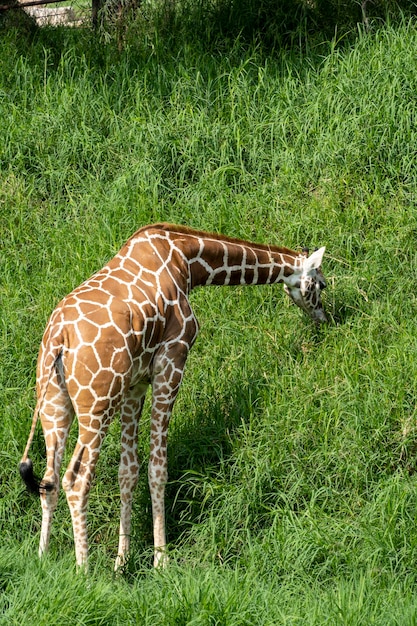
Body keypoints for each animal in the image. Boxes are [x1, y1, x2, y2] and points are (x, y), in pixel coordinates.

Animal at [18, 222, 324, 568]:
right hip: (96, 403)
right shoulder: (172, 357)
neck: (186, 260)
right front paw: (160, 560)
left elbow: (128, 471)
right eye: (321, 284)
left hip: (54, 403)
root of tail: (59, 339)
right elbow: (157, 467)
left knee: (49, 480)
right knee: (76, 479)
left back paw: (42, 561)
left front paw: (122, 563)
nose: (324, 318)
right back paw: (83, 569)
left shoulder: (135, 383)